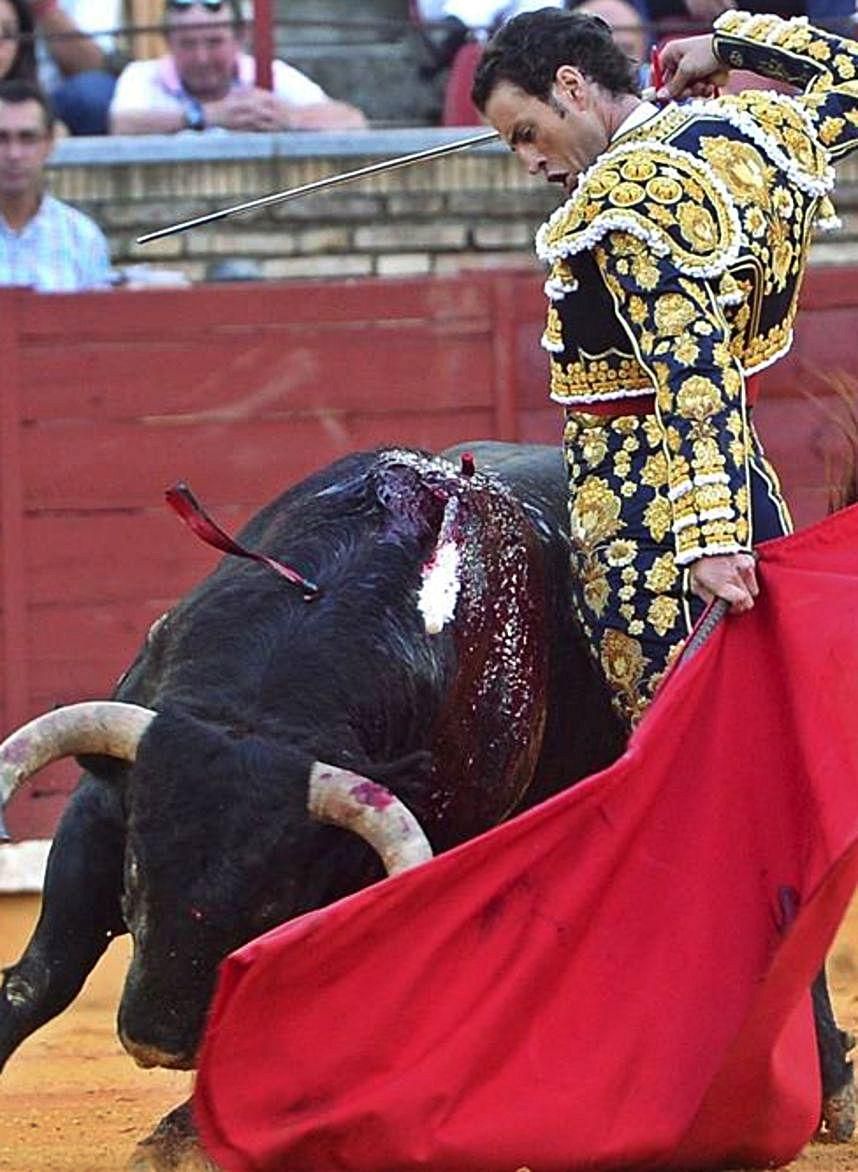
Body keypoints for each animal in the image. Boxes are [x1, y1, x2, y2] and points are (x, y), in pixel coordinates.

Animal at [0, 443, 848, 1157]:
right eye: (136, 874)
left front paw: (187, 1136)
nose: (157, 1039)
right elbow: (41, 977)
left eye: (276, 906)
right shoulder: (104, 803)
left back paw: (827, 1090)